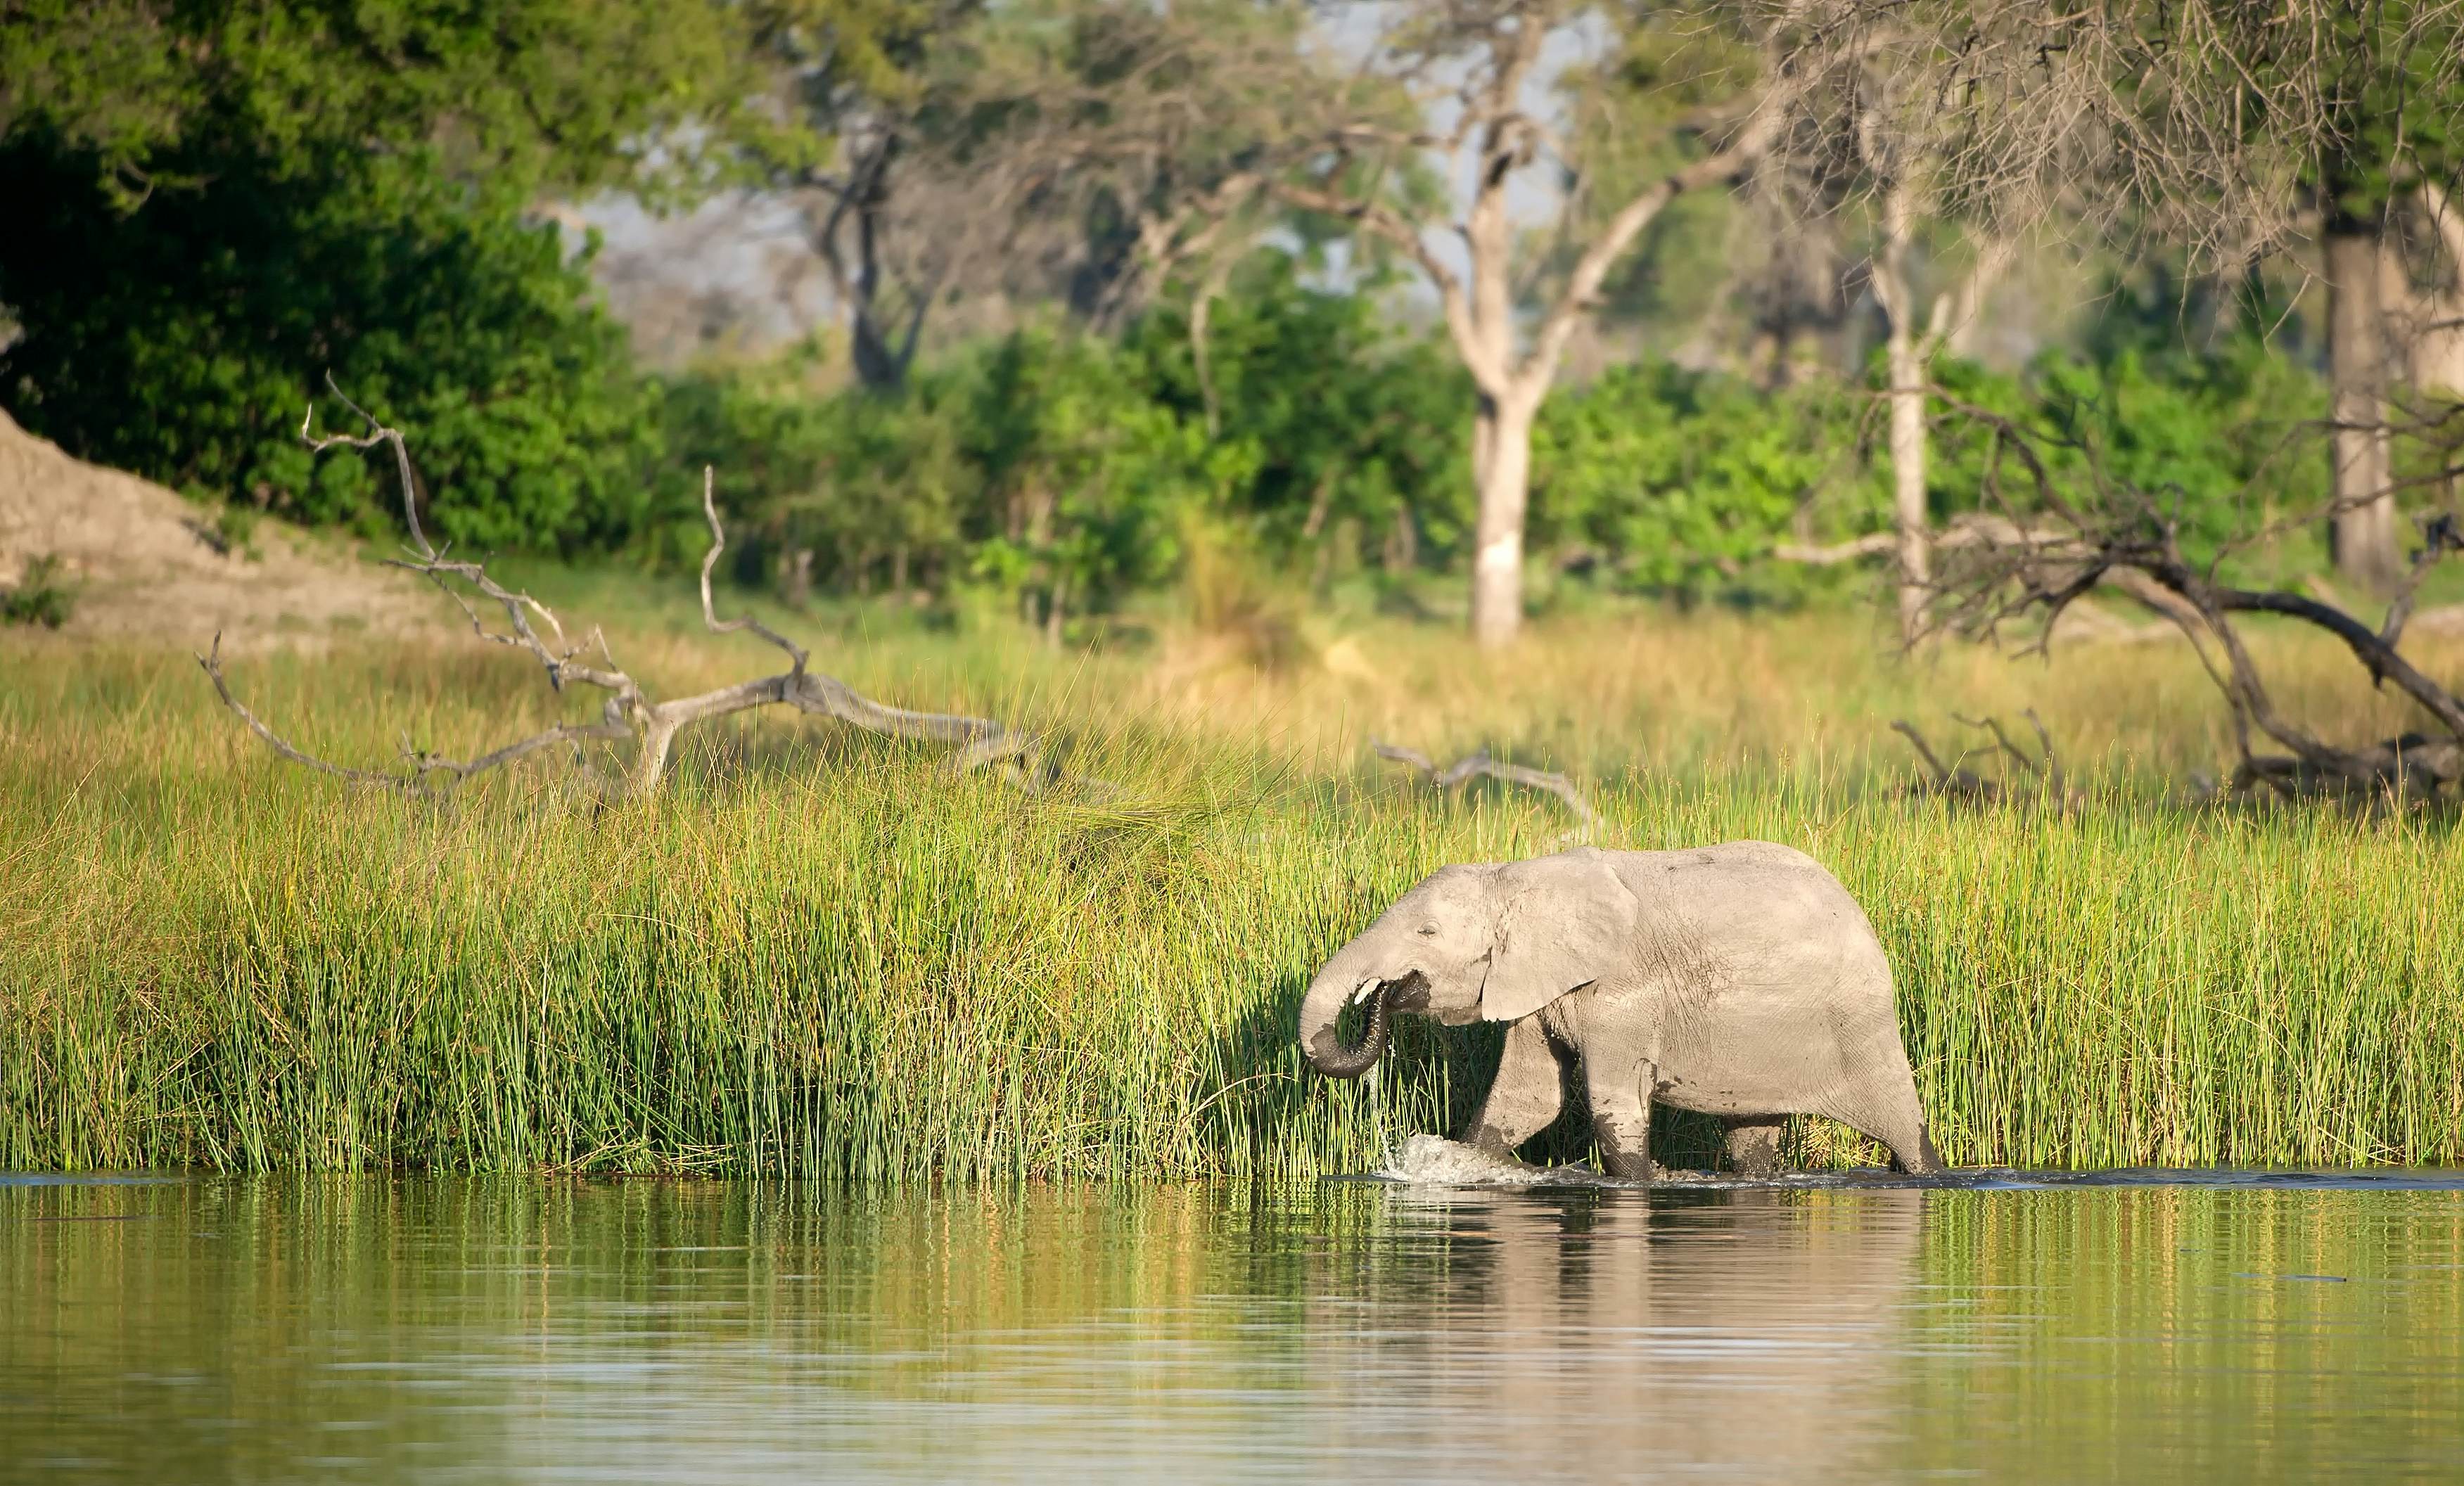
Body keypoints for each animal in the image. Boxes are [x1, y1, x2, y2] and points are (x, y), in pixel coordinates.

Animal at [1297, 842, 1943, 1182]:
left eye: (1427, 932)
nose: (1383, 994)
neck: (1514, 877)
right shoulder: (1539, 991)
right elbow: (1526, 1098)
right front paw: (1463, 1164)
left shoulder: (1621, 998)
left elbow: (1612, 1105)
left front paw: (1638, 1182)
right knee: (1750, 1138)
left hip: (1858, 1023)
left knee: (1902, 1125)